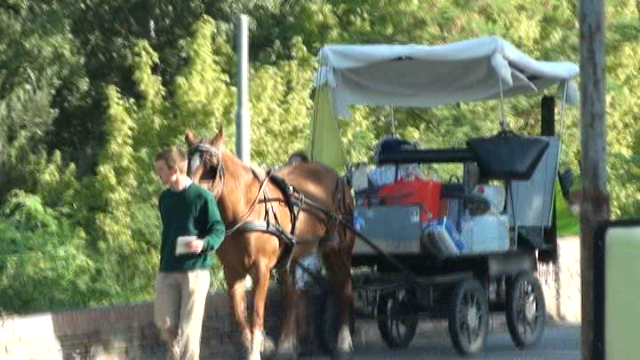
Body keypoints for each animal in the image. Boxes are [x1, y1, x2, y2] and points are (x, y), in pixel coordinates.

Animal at [185, 128, 356, 358]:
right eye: (188, 163)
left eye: (212, 167)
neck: (246, 206)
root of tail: (338, 177)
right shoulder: (233, 270)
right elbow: (238, 314)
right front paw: (261, 344)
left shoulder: (261, 267)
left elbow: (257, 312)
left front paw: (255, 350)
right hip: (297, 254)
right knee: (293, 293)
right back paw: (287, 344)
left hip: (339, 249)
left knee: (344, 287)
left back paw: (344, 340)